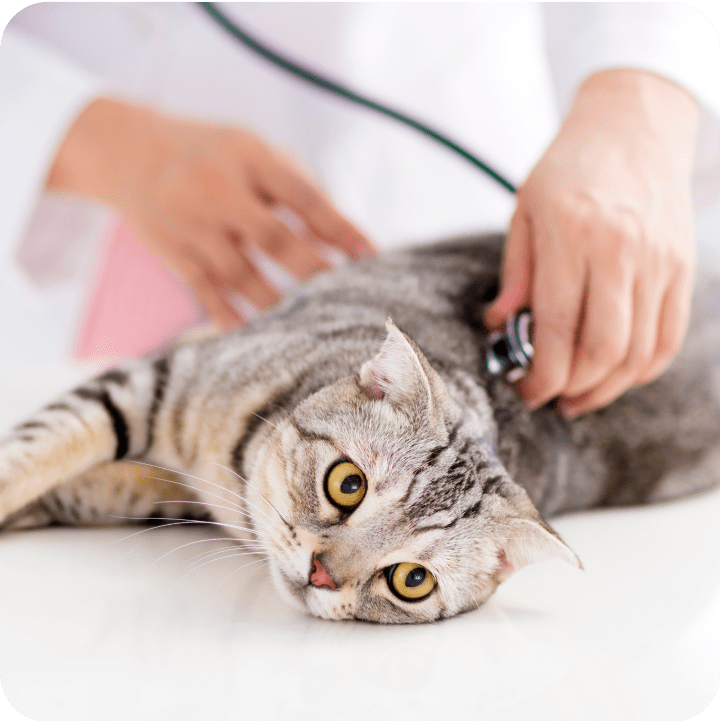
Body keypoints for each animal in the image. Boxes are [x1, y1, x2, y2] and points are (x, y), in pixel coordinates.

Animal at [1, 233, 720, 620]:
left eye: (411, 580)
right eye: (347, 484)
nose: (321, 574)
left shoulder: (164, 486)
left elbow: (83, 485)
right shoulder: (157, 377)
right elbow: (39, 450)